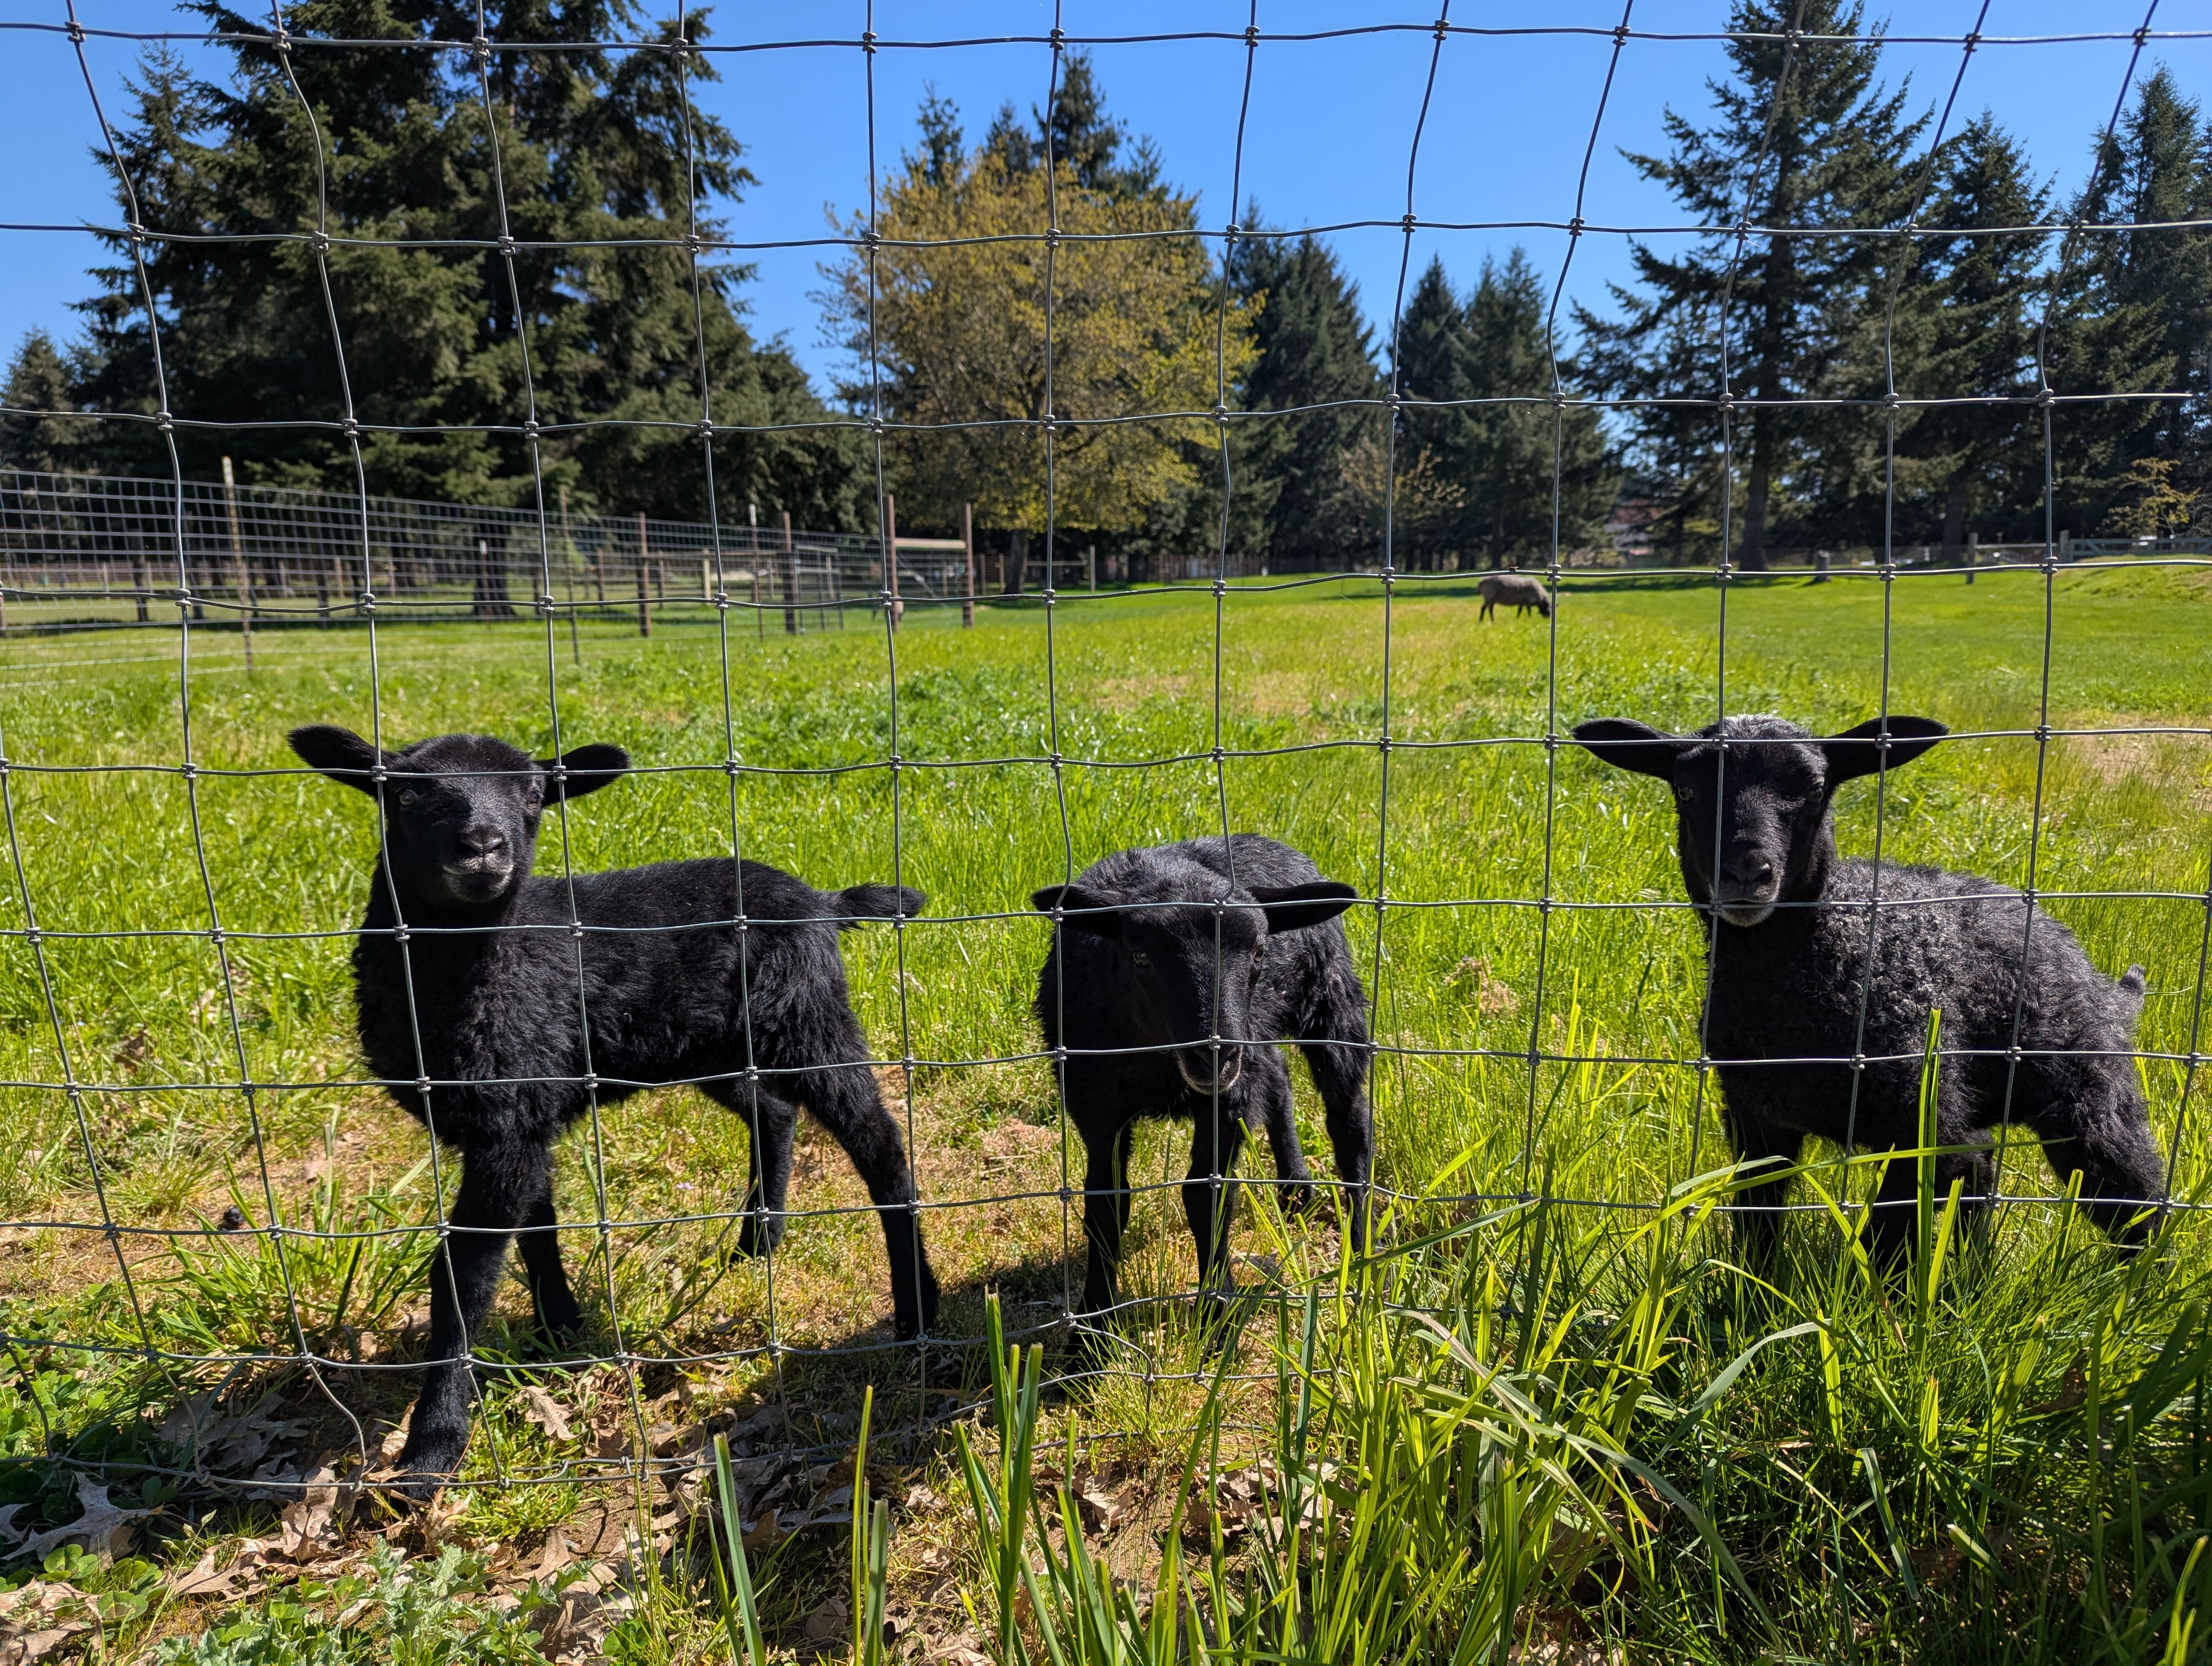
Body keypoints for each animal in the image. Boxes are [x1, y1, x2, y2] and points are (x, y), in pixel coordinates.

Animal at [288, 724, 940, 1488]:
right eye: (405, 794)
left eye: (534, 795)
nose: (482, 847)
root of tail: (823, 900)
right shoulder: (522, 1112)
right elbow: (536, 1229)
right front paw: (559, 1330)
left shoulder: (510, 1118)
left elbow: (465, 1277)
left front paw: (432, 1449)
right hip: (715, 1045)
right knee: (772, 1113)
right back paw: (757, 1243)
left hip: (809, 1017)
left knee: (879, 1145)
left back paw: (916, 1307)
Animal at [1031, 835, 1373, 1340]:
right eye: (1140, 957)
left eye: (1258, 955)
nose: (1215, 1055)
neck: (1158, 1059)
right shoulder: (1096, 1107)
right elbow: (1106, 1204)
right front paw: (1092, 1331)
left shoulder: (1226, 1104)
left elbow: (1207, 1199)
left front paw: (1218, 1316)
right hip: (1258, 1036)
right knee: (1277, 1076)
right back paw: (1296, 1190)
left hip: (1327, 1002)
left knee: (1347, 1118)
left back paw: (1365, 1242)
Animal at [1477, 573, 1551, 620]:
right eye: (1548, 609)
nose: (1548, 619)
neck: (1540, 597)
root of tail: (1482, 582)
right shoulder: (1528, 602)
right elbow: (1529, 611)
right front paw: (1530, 619)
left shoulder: (1522, 602)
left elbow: (1520, 611)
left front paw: (1517, 618)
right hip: (1489, 597)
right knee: (1483, 608)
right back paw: (1481, 621)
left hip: (1493, 599)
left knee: (1490, 610)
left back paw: (1493, 621)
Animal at [1573, 712, 2164, 1265]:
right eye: (1687, 790)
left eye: (1814, 790)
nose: (1746, 873)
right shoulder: (1755, 1120)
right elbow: (1757, 1225)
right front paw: (1755, 1295)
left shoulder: (1923, 1127)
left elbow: (1888, 1245)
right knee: (1982, 1184)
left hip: (2088, 1094)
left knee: (2136, 1196)